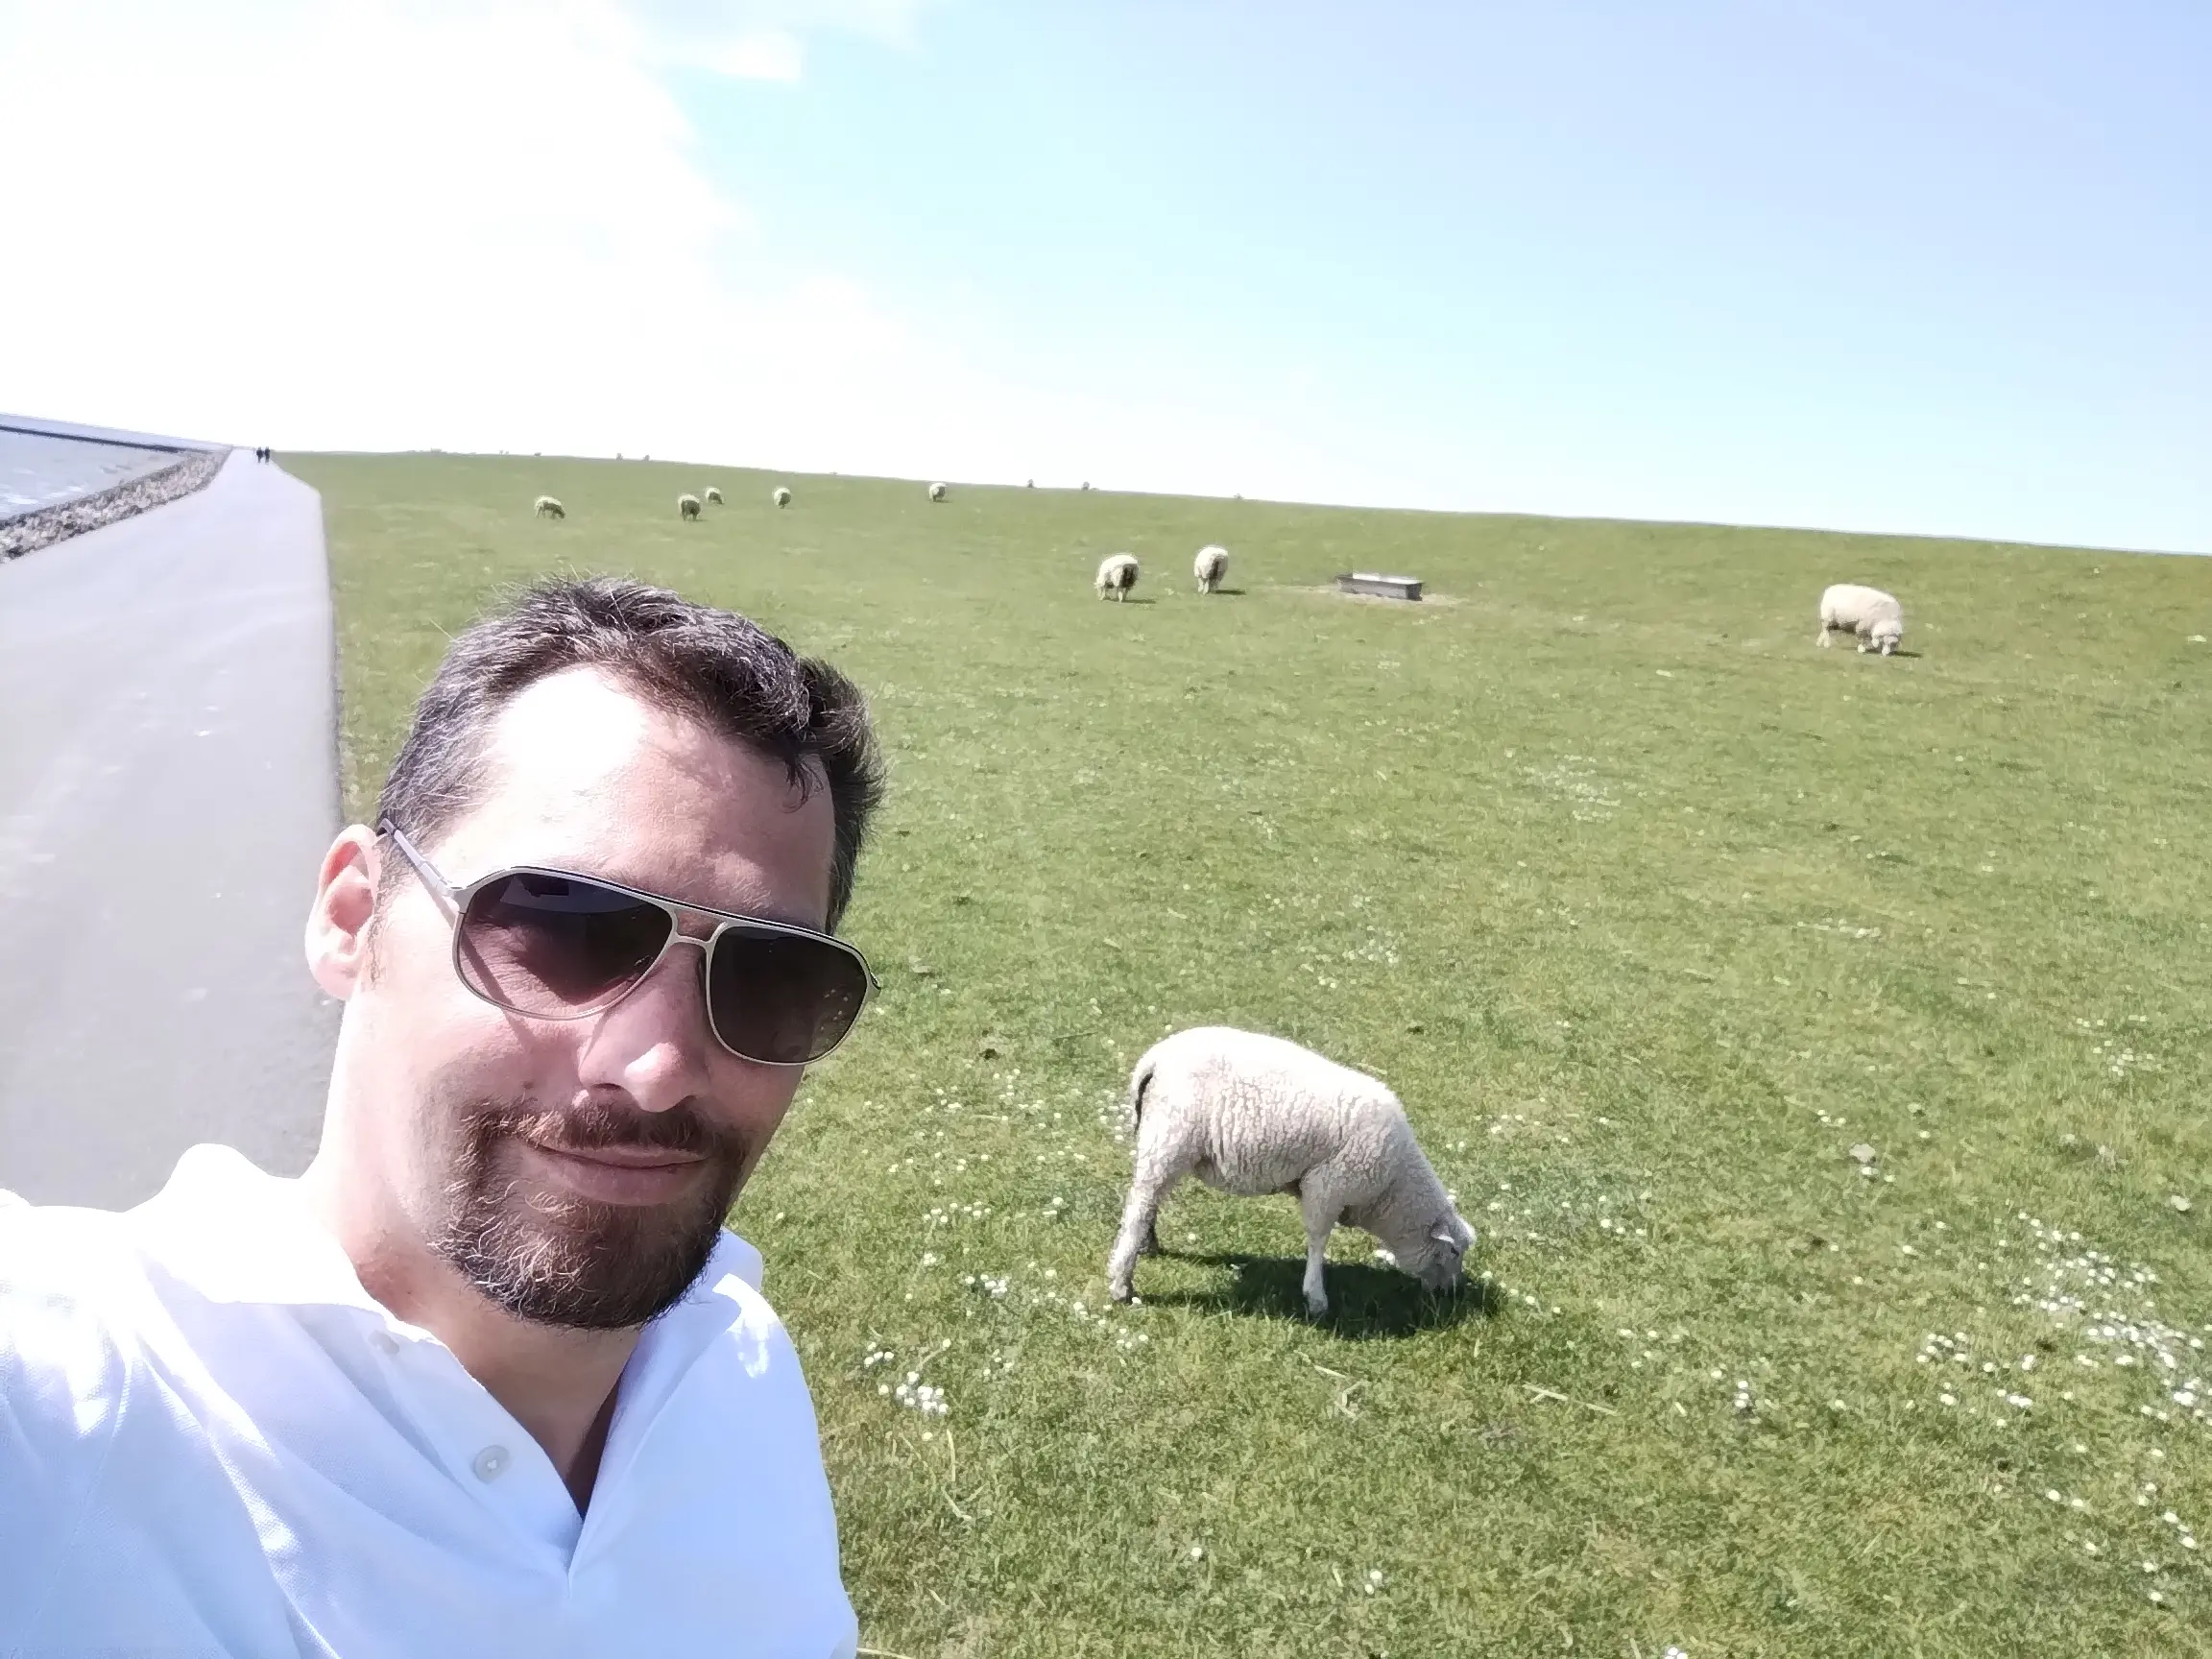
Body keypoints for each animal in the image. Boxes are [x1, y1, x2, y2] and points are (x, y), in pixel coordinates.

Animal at [1107, 1027, 1475, 1317]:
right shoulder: (1327, 1185)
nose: (1453, 1293)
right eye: (1453, 1252)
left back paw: (1147, 1245)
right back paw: (1121, 1283)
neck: (1390, 1193)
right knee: (1140, 1206)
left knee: (1148, 1200)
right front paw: (1316, 1298)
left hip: (1159, 1140)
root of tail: (1155, 1059)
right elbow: (1318, 1239)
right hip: (1171, 1137)